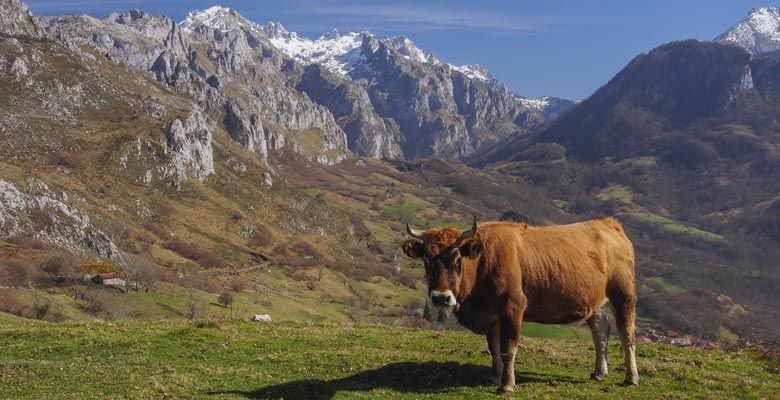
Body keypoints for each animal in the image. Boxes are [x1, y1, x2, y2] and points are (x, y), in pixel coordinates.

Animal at [402, 216, 640, 394]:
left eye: (457, 259)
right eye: (426, 260)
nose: (441, 298)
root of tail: (607, 222)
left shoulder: (512, 307)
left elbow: (508, 347)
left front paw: (507, 385)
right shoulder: (491, 314)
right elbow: (494, 347)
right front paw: (495, 377)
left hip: (623, 293)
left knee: (626, 334)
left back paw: (631, 377)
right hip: (594, 300)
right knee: (600, 329)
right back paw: (599, 371)